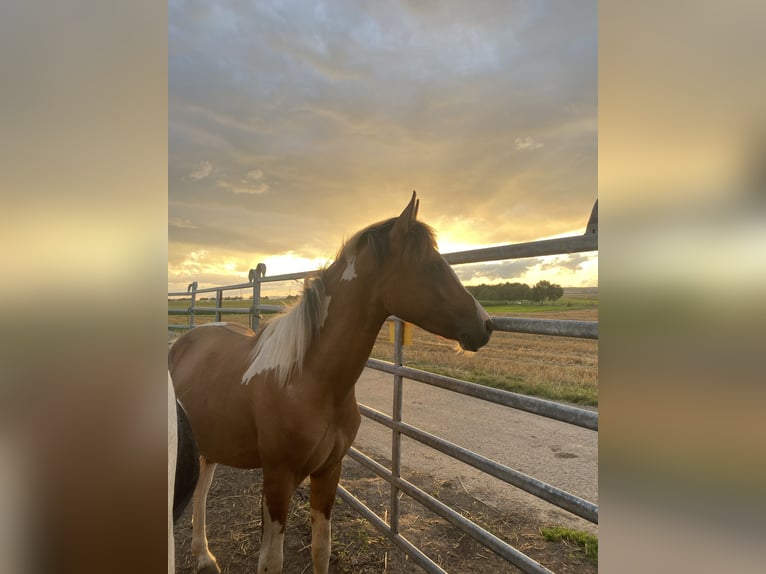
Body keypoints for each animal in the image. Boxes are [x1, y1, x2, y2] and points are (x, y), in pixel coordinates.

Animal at [169, 192, 493, 574]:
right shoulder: (278, 479)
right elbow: (272, 560)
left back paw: (204, 555)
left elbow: (320, 548)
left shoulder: (328, 473)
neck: (308, 379)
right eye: (430, 265)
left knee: (202, 489)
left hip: (209, 443)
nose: (486, 325)